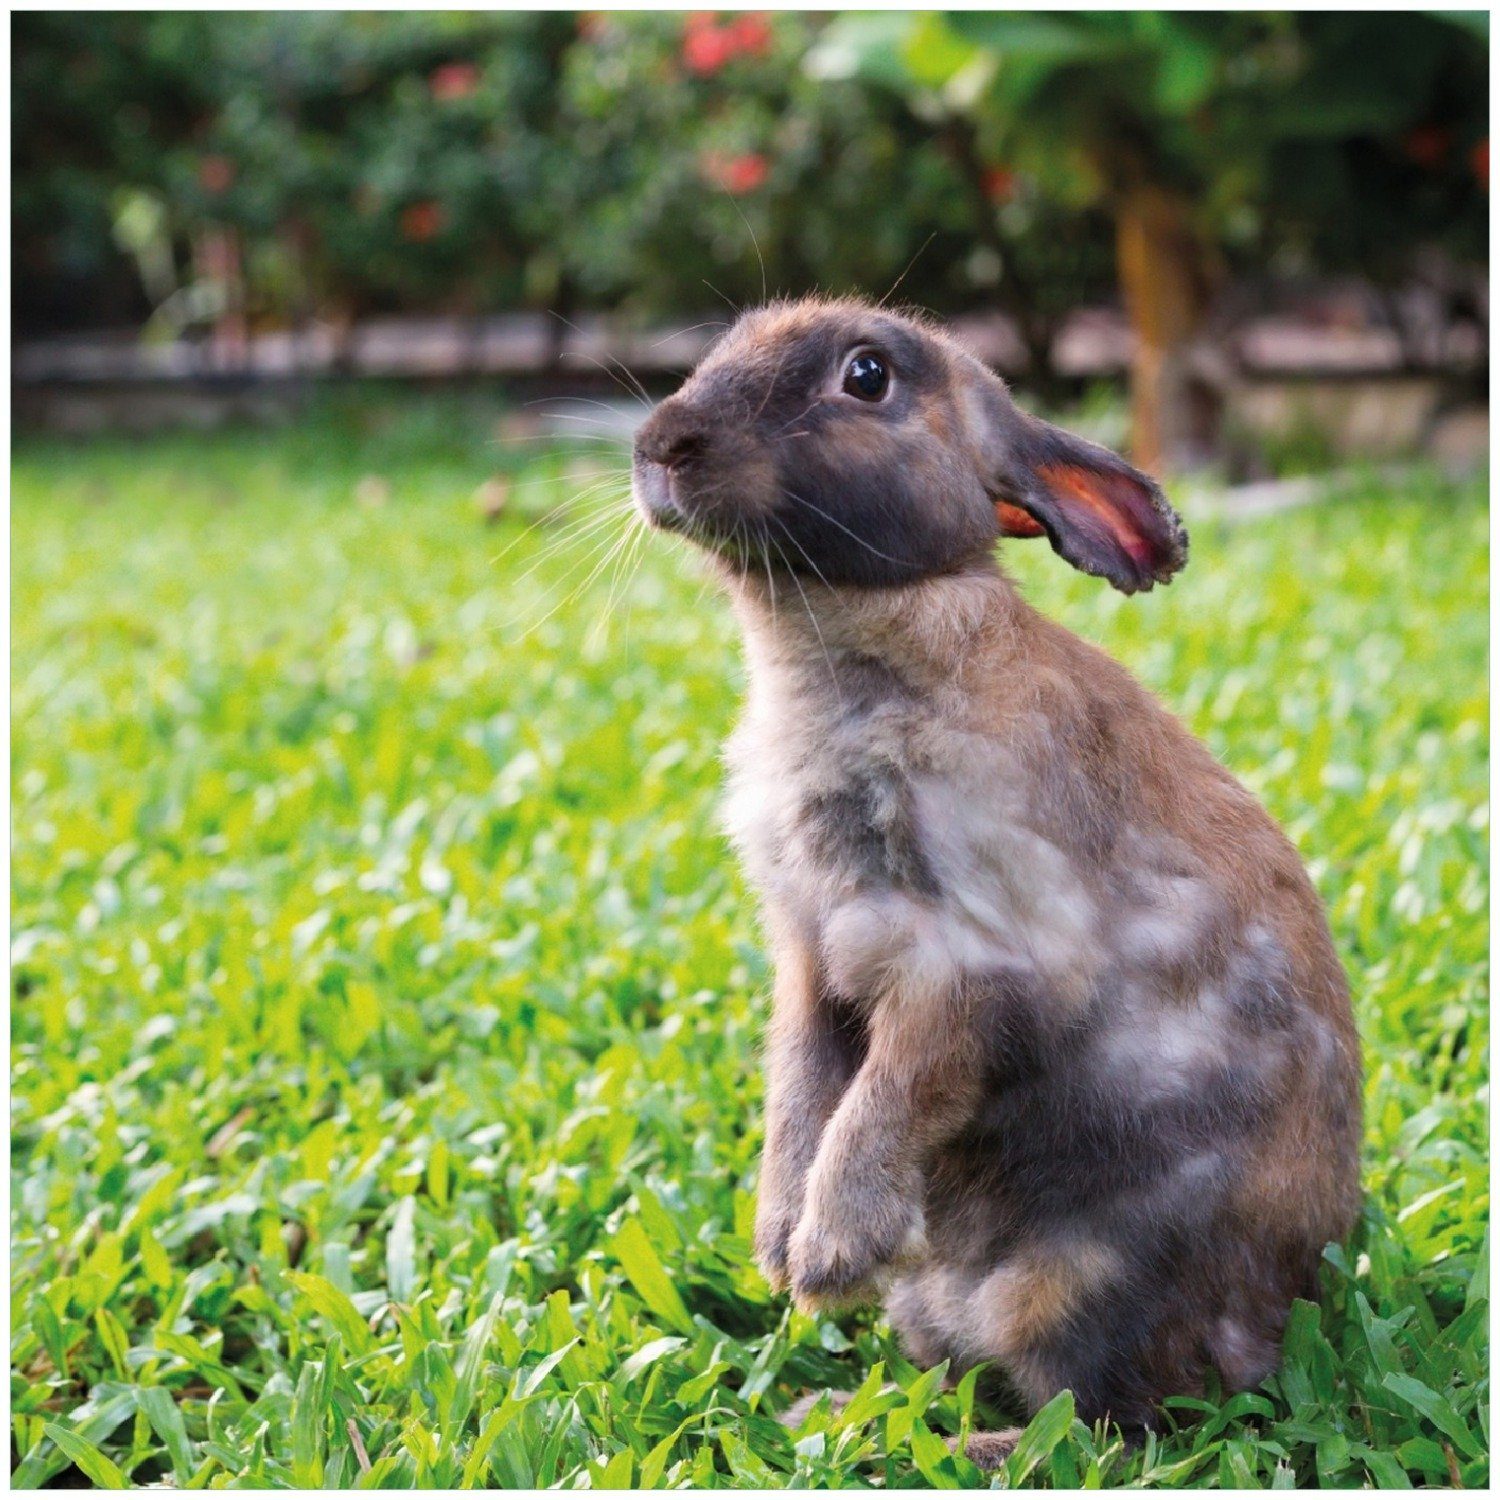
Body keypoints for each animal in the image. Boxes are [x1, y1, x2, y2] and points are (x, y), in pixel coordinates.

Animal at [627, 295, 1368, 1464]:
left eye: (868, 375)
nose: (659, 445)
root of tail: (1274, 1328)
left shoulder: (967, 964)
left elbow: (890, 1093)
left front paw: (826, 1255)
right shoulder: (811, 959)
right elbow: (801, 1085)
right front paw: (779, 1244)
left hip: (1074, 1288)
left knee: (1098, 1429)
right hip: (945, 1303)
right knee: (969, 1375)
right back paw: (831, 1419)